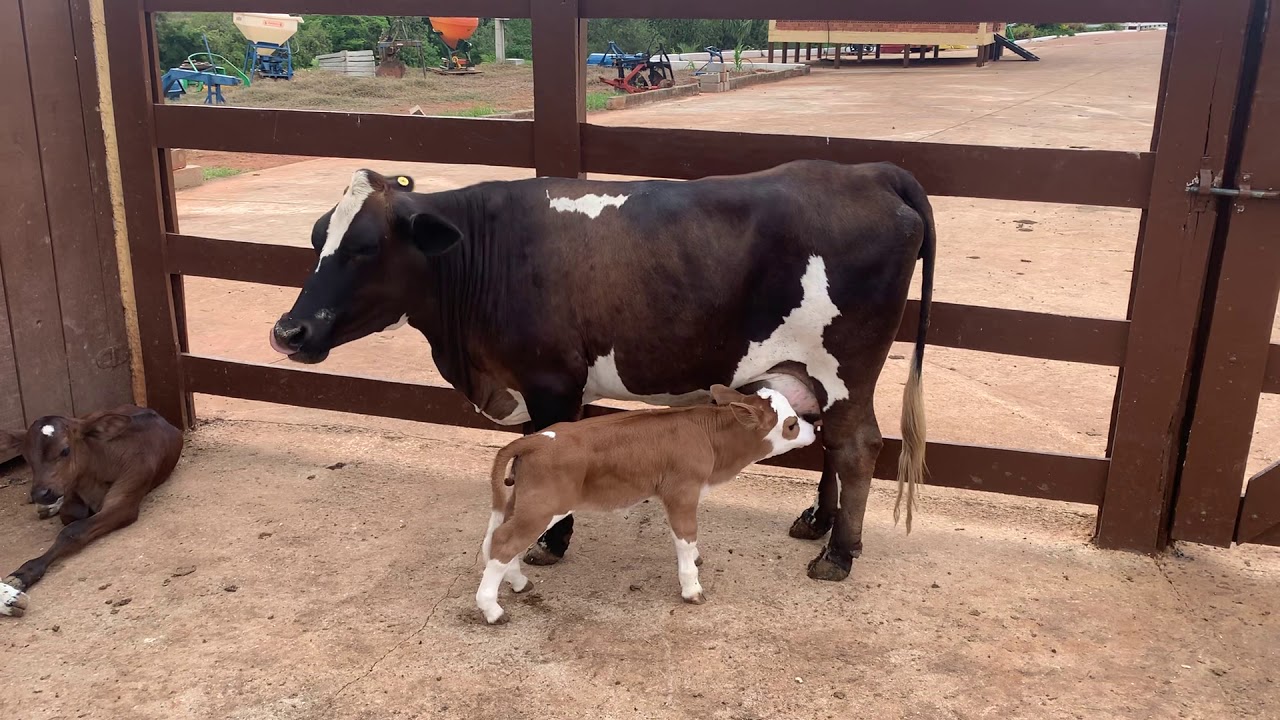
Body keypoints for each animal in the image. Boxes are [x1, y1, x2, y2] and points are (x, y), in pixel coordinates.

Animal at [0, 406, 183, 616]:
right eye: (26, 456)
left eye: (65, 450)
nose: (41, 493)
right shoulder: (71, 489)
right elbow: (71, 514)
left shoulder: (124, 503)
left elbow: (72, 531)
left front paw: (23, 574)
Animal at [269, 159, 934, 582]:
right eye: (318, 238)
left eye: (365, 247)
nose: (288, 332)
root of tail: (868, 171)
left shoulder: (551, 383)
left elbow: (545, 453)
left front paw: (549, 542)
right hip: (817, 370)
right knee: (827, 438)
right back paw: (818, 523)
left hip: (847, 364)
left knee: (855, 445)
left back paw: (839, 553)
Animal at [478, 385, 818, 623]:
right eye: (790, 425)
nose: (814, 429)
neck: (709, 437)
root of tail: (535, 438)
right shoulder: (682, 492)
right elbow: (686, 536)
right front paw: (692, 588)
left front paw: (695, 561)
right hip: (542, 507)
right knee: (504, 541)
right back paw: (492, 609)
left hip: (522, 503)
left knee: (498, 538)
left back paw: (518, 582)